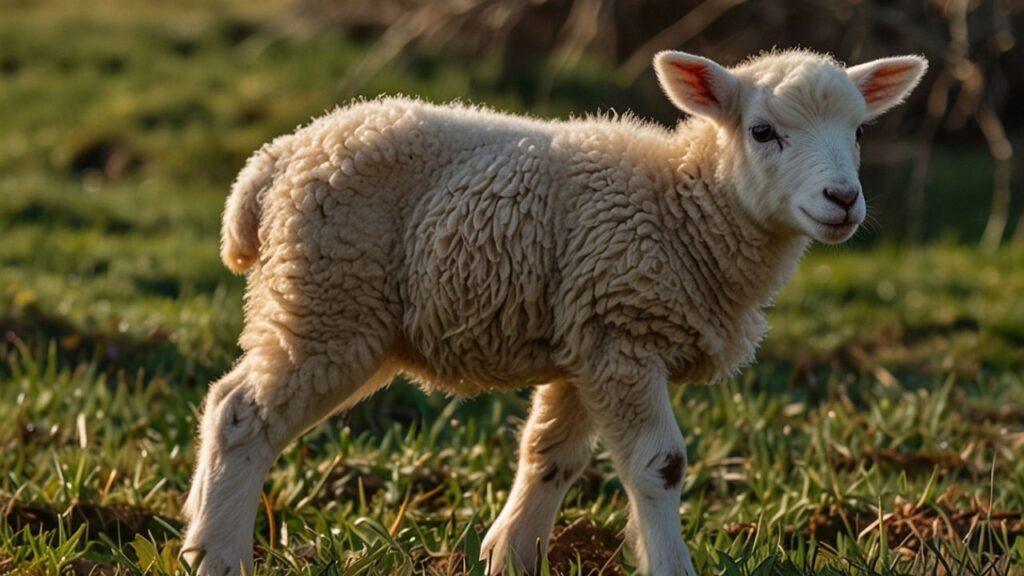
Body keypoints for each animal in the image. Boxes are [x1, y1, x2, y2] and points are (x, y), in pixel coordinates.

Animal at [182, 48, 927, 576]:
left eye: (859, 132)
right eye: (763, 131)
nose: (843, 199)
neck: (687, 203)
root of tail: (272, 161)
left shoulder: (586, 343)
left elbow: (548, 455)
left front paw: (509, 554)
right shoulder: (626, 331)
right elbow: (660, 466)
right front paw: (669, 565)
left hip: (319, 303)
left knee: (229, 401)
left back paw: (198, 529)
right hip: (326, 300)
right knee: (241, 416)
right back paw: (219, 555)